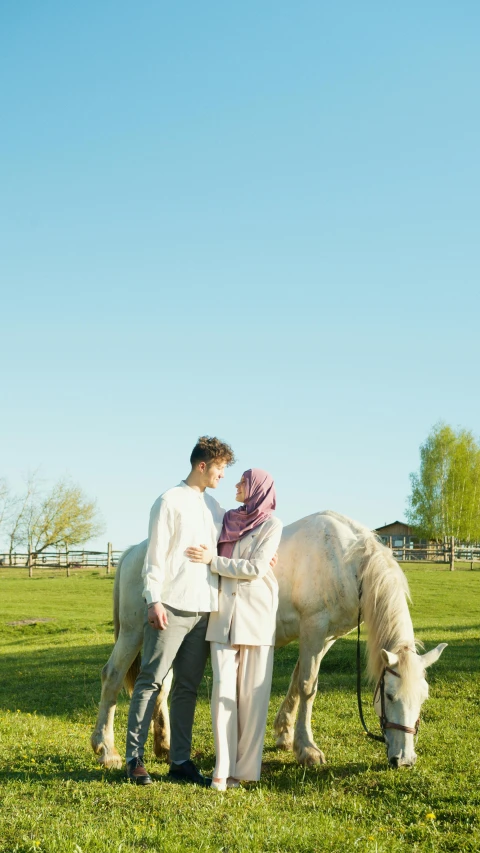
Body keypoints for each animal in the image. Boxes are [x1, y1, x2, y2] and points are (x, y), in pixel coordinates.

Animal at [91, 510, 446, 768]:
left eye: (423, 697)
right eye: (389, 695)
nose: (404, 760)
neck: (347, 560)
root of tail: (135, 551)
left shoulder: (324, 638)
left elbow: (297, 683)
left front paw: (286, 736)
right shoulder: (314, 629)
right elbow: (308, 687)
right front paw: (308, 749)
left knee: (160, 685)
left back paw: (163, 745)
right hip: (135, 632)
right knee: (112, 677)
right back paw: (106, 749)